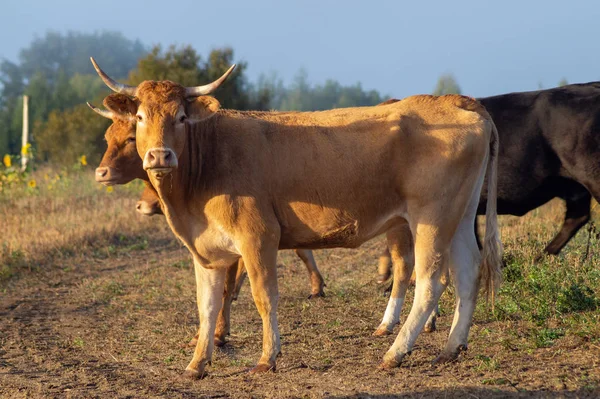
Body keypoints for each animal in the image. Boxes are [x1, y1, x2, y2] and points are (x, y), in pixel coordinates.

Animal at [90, 57, 502, 380]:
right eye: (140, 117)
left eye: (179, 117)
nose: (160, 156)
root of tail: (457, 101)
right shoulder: (207, 252)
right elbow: (207, 306)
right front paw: (197, 363)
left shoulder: (258, 237)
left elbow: (264, 297)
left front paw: (267, 357)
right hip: (460, 215)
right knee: (467, 272)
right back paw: (450, 347)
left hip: (431, 217)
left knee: (430, 281)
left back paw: (395, 352)